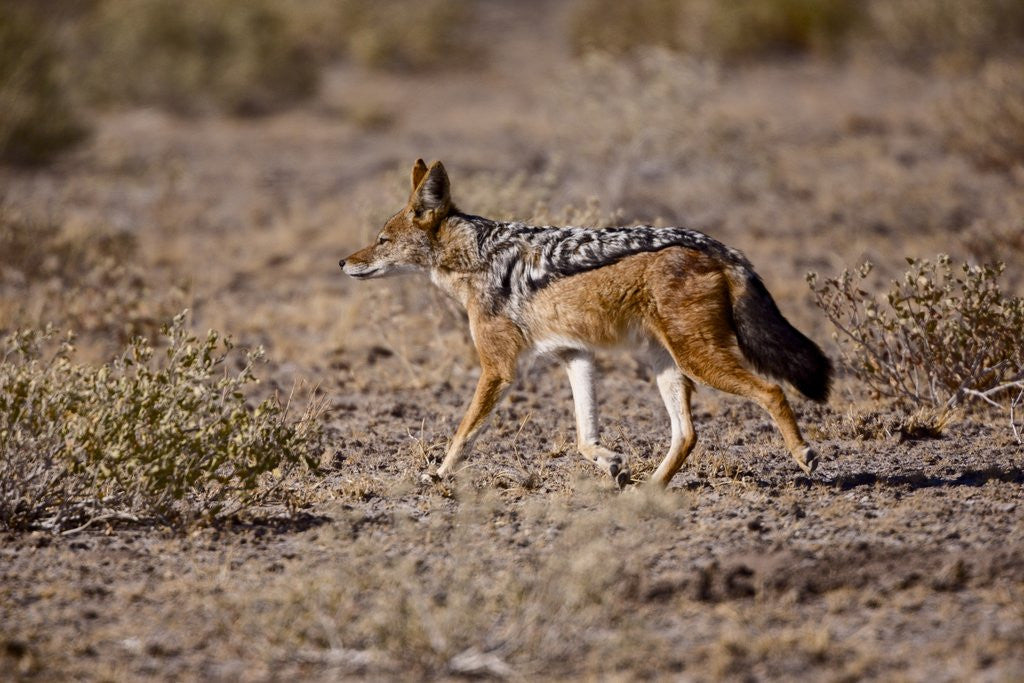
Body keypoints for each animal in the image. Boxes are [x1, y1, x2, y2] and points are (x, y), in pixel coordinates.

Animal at [340, 159, 832, 488]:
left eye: (381, 239)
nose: (343, 262)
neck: (477, 257)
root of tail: (720, 247)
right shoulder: (575, 355)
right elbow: (583, 434)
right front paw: (610, 463)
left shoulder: (499, 369)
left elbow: (463, 433)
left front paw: (438, 474)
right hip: (668, 365)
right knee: (687, 433)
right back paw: (651, 489)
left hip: (699, 360)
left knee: (771, 391)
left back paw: (804, 455)